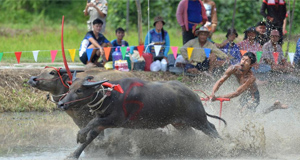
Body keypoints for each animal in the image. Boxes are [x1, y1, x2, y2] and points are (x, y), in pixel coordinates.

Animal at [57, 76, 226, 159]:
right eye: (70, 88)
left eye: (79, 90)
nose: (61, 103)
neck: (111, 95)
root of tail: (195, 95)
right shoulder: (103, 122)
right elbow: (91, 136)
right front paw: (73, 155)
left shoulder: (116, 120)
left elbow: (91, 122)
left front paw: (80, 135)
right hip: (180, 124)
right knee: (191, 135)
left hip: (198, 120)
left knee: (212, 128)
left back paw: (224, 146)